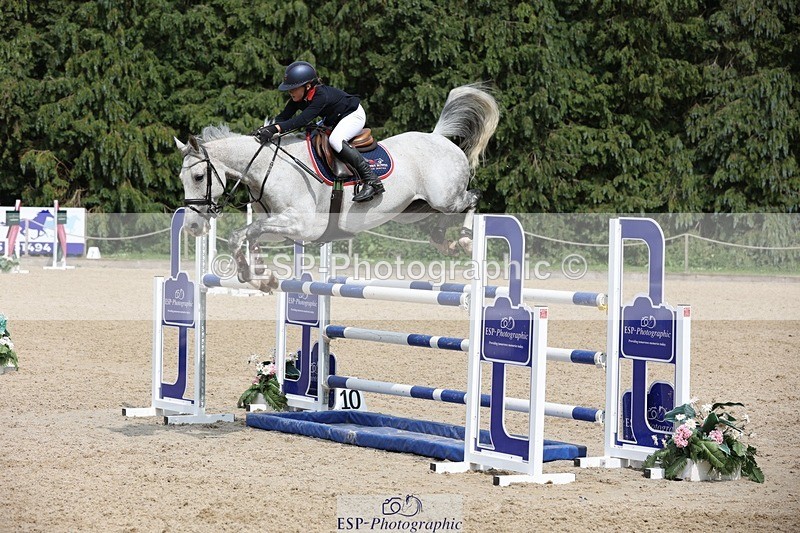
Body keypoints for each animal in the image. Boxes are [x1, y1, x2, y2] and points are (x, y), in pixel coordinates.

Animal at [175, 83, 499, 282]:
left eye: (199, 177)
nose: (193, 227)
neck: (271, 167)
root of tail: (438, 137)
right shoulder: (281, 228)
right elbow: (245, 233)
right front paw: (256, 276)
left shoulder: (303, 224)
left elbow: (249, 230)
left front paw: (255, 276)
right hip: (412, 210)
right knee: (441, 217)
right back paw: (444, 242)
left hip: (445, 197)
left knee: (472, 197)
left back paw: (465, 239)